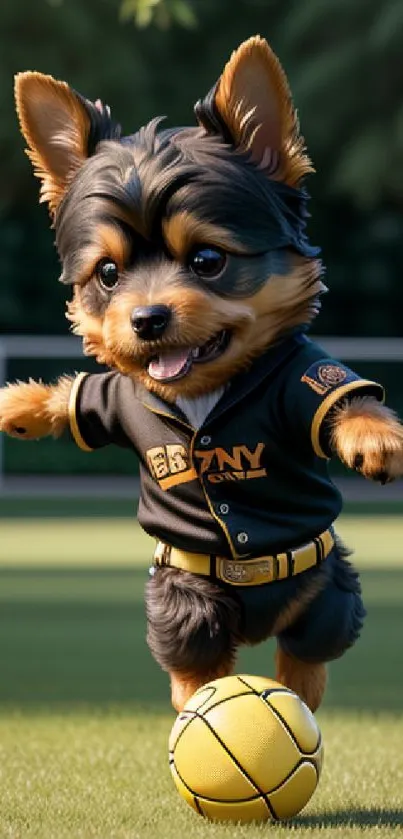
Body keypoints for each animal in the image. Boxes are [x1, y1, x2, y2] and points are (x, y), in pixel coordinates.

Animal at [3, 36, 403, 712]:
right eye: (107, 274)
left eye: (208, 260)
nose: (146, 319)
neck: (200, 393)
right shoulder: (111, 398)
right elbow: (77, 396)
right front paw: (21, 408)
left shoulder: (300, 380)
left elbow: (344, 400)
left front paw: (373, 434)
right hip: (183, 601)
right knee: (198, 657)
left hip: (324, 591)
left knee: (308, 651)